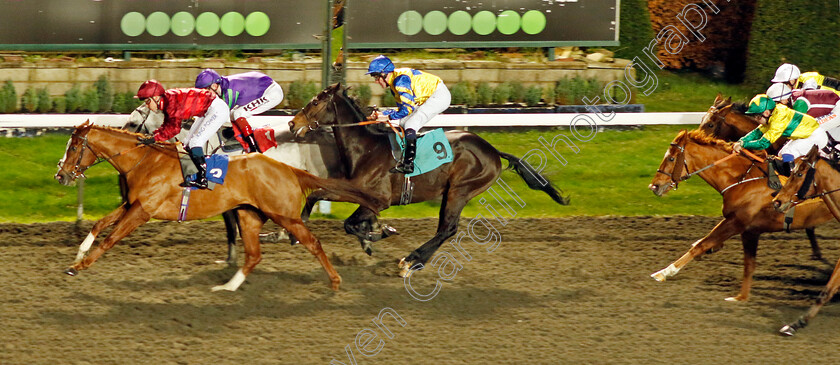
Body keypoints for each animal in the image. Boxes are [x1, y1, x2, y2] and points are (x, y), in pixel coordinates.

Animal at [52, 121, 380, 292]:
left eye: (74, 147)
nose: (61, 175)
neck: (145, 160)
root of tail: (289, 169)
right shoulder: (133, 203)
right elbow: (99, 224)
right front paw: (79, 252)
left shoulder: (142, 211)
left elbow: (111, 238)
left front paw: (79, 266)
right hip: (249, 215)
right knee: (253, 255)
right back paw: (228, 287)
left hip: (284, 215)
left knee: (312, 242)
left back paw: (335, 281)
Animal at [288, 83, 572, 276]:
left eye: (315, 102)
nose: (292, 124)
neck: (367, 148)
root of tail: (493, 151)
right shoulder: (361, 194)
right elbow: (324, 198)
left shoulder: (378, 199)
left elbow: (348, 223)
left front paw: (380, 233)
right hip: (451, 192)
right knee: (445, 229)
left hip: (460, 190)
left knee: (447, 229)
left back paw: (410, 262)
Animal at [648, 131, 832, 302]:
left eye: (671, 158)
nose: (653, 186)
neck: (741, 179)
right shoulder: (739, 222)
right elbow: (709, 242)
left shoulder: (739, 222)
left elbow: (702, 244)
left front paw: (665, 272)